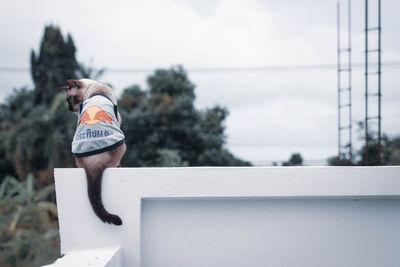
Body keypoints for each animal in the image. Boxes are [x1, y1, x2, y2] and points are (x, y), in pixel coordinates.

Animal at [61, 79, 125, 226]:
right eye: (67, 100)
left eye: (71, 99)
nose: (69, 108)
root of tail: (93, 164)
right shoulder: (118, 118)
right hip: (121, 143)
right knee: (114, 163)